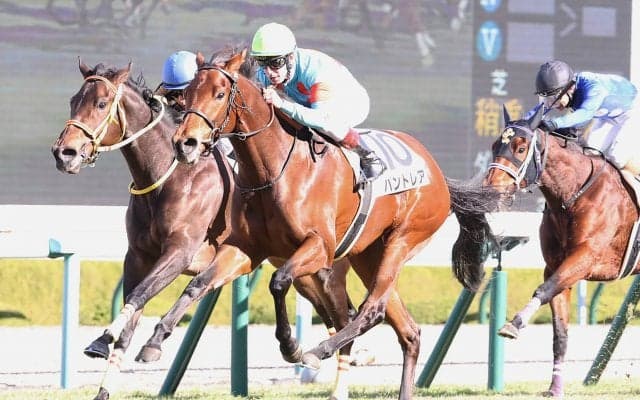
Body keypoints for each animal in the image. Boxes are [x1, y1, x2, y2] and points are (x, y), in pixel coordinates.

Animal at [51, 59, 355, 400]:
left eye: (101, 103)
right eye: (73, 101)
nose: (64, 153)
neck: (169, 176)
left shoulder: (180, 252)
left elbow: (144, 294)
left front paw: (108, 339)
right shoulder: (138, 256)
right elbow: (132, 313)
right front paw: (104, 378)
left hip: (324, 269)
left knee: (344, 315)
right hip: (302, 274)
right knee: (336, 316)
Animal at [147, 46, 498, 400]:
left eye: (219, 94)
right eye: (187, 95)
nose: (185, 143)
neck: (273, 169)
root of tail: (438, 175)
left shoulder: (319, 247)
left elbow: (278, 281)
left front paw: (291, 346)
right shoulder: (245, 250)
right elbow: (198, 283)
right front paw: (154, 340)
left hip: (403, 240)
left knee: (370, 310)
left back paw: (319, 350)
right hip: (368, 254)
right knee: (407, 330)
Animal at [479, 105, 640, 397]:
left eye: (521, 148)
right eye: (496, 145)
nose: (490, 189)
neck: (573, 195)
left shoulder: (585, 258)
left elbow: (543, 291)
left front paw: (513, 325)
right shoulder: (556, 266)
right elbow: (560, 333)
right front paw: (555, 388)